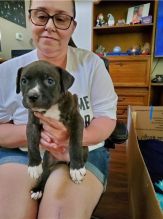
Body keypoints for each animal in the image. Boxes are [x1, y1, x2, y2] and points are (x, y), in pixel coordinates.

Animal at [16, 60, 88, 200]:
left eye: (50, 81)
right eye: (24, 81)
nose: (32, 96)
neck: (51, 107)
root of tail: (62, 160)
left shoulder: (77, 120)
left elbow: (75, 142)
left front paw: (76, 168)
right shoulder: (32, 124)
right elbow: (31, 144)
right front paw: (34, 166)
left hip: (85, 150)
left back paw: (74, 171)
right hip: (48, 158)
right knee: (45, 173)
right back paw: (38, 189)